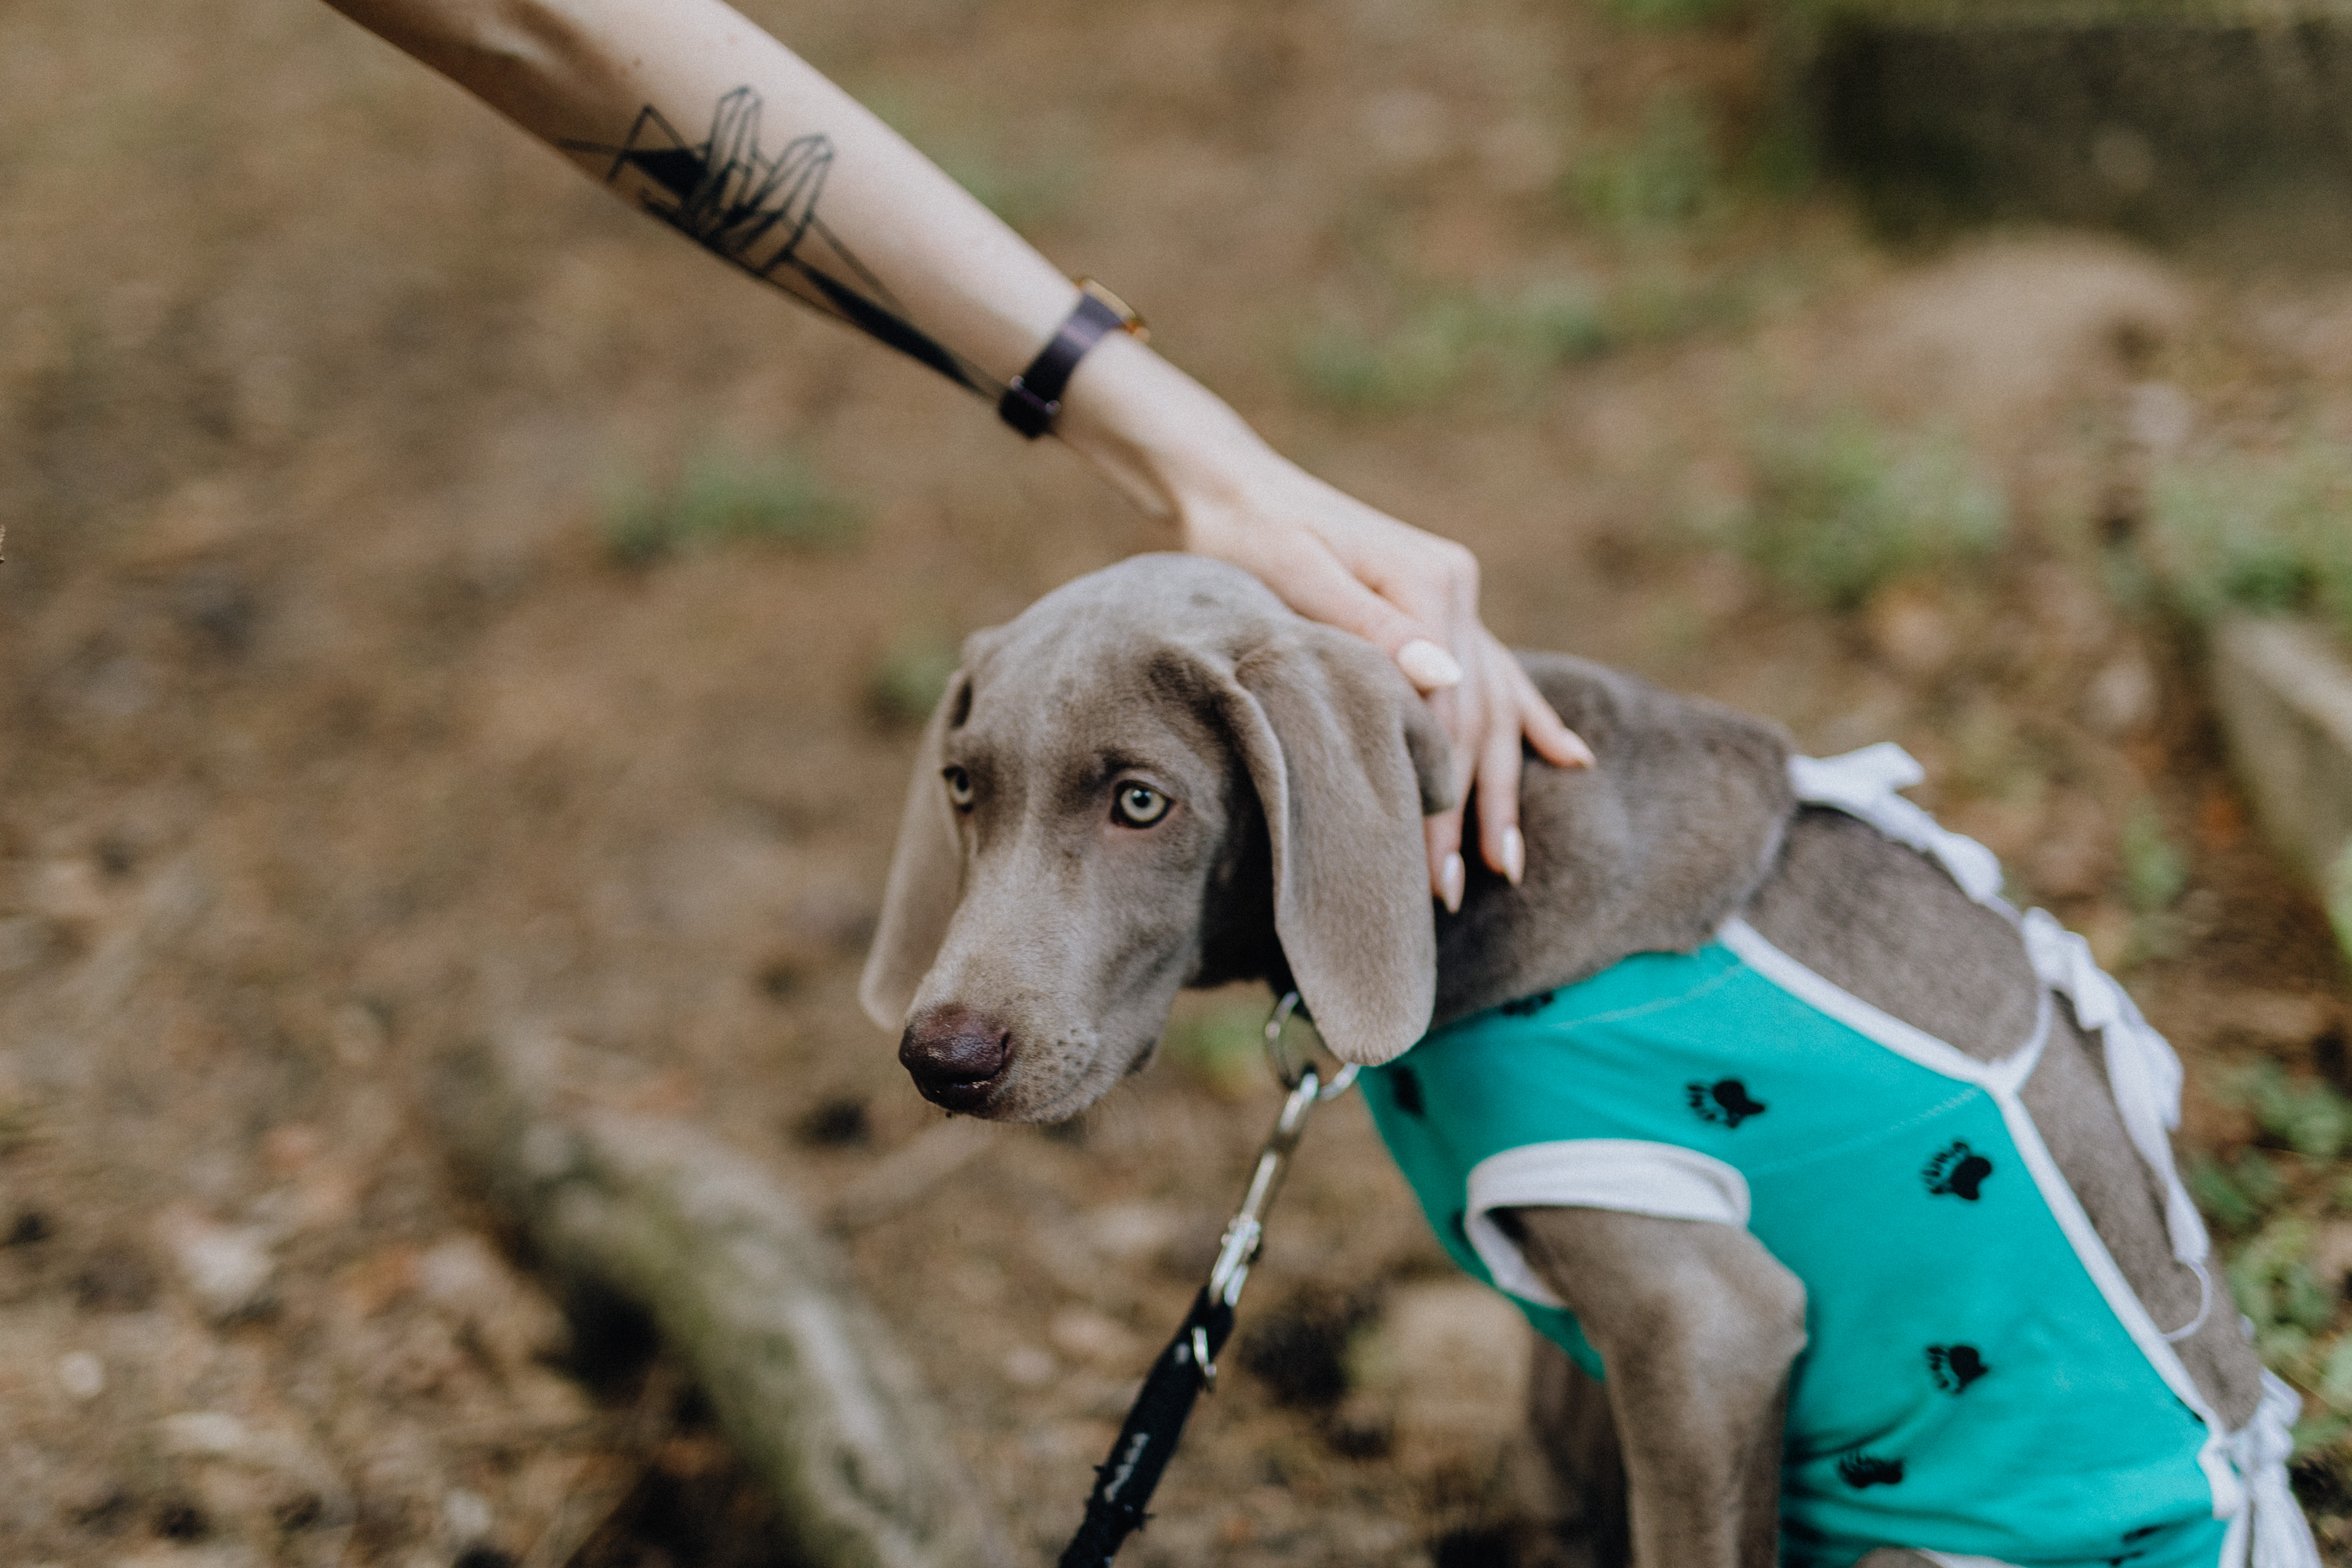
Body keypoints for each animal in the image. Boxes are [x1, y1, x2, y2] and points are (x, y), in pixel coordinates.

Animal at [861, 555, 2314, 1568]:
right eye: (961, 786)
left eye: (1140, 802)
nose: (942, 1056)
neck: (1464, 882)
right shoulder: (1584, 1313)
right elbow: (1563, 1482)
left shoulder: (1705, 1321)